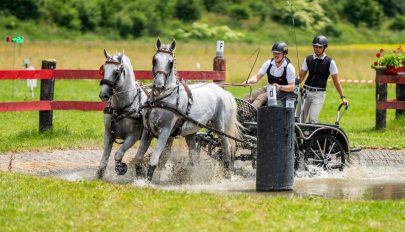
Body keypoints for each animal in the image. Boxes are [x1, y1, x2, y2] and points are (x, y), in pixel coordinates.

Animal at [97, 49, 148, 179]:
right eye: (103, 70)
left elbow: (119, 153)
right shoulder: (108, 134)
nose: (103, 95)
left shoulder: (133, 136)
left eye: (116, 72)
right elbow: (105, 157)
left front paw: (121, 168)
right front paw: (99, 174)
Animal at [133, 39, 240, 181]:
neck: (161, 100)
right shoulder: (147, 131)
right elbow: (138, 157)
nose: (159, 86)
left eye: (171, 62)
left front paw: (149, 179)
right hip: (191, 131)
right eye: (154, 60)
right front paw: (139, 176)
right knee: (193, 155)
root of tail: (223, 92)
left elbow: (155, 158)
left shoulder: (165, 132)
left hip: (220, 127)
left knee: (226, 147)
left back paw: (227, 173)